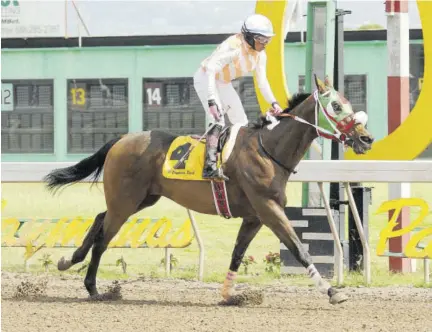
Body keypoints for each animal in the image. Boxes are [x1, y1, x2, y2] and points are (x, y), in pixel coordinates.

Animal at [44, 75, 374, 306]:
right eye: (336, 106)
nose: (366, 138)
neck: (268, 150)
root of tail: (121, 139)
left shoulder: (254, 216)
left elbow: (237, 254)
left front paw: (229, 295)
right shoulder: (268, 209)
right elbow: (299, 248)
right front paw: (332, 291)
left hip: (141, 199)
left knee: (100, 218)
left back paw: (68, 261)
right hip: (126, 202)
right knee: (103, 238)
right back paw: (93, 287)